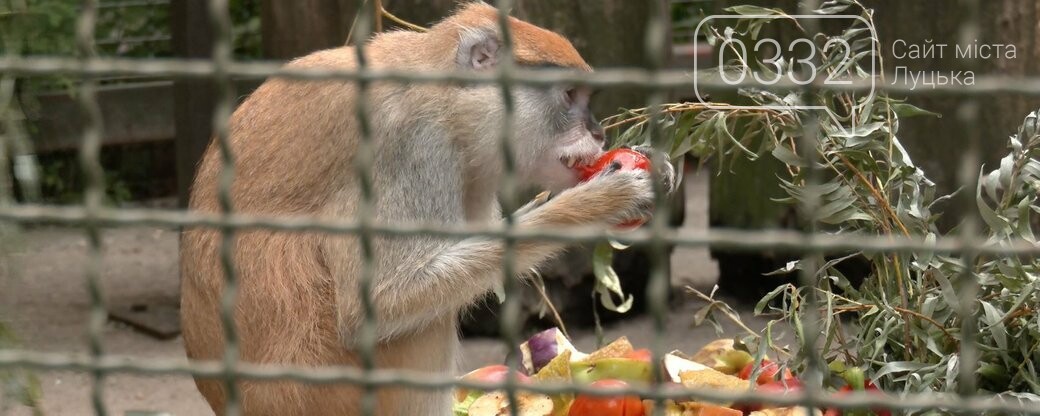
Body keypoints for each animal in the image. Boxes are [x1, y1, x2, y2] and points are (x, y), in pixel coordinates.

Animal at [178, 1, 673, 413]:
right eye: (569, 96)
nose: (599, 133)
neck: (447, 92)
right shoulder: (411, 144)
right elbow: (381, 302)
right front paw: (601, 201)